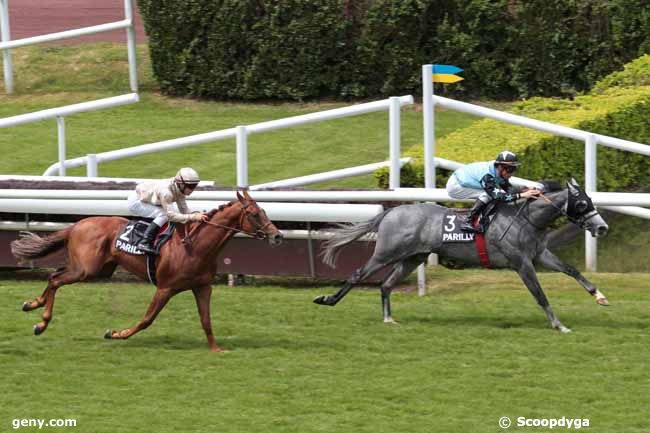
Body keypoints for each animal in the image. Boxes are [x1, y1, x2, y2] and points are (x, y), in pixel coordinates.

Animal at [10, 190, 280, 352]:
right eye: (254, 214)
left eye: (264, 211)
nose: (277, 235)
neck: (194, 246)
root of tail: (77, 225)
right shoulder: (165, 287)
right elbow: (147, 319)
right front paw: (116, 333)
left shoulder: (202, 287)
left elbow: (206, 321)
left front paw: (216, 349)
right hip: (86, 269)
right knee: (55, 278)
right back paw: (41, 321)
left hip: (99, 270)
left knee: (55, 274)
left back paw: (32, 305)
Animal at [314, 178, 608, 330]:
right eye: (583, 204)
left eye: (590, 201)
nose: (602, 227)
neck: (528, 218)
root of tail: (391, 212)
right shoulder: (521, 263)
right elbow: (539, 294)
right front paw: (558, 325)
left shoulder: (539, 255)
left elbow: (572, 270)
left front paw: (600, 297)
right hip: (387, 253)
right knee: (357, 274)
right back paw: (327, 299)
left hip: (413, 257)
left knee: (386, 284)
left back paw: (389, 318)